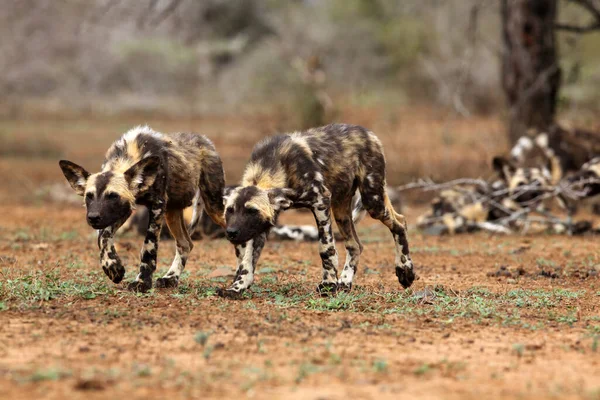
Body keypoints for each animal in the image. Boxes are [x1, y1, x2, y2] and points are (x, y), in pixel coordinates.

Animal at [59, 125, 225, 290]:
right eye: (89, 196)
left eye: (112, 196)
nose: (93, 217)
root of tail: (205, 140)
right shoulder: (122, 211)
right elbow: (103, 238)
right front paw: (113, 268)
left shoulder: (157, 206)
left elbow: (148, 248)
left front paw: (142, 281)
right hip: (172, 212)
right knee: (185, 244)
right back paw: (170, 278)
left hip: (213, 208)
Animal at [219, 123, 412, 298]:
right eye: (230, 210)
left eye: (251, 211)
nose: (231, 232)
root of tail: (368, 132)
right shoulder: (259, 226)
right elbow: (247, 261)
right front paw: (237, 287)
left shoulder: (320, 202)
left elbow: (326, 249)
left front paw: (328, 284)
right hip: (341, 210)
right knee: (355, 245)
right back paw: (345, 282)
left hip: (372, 201)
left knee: (400, 223)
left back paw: (405, 270)